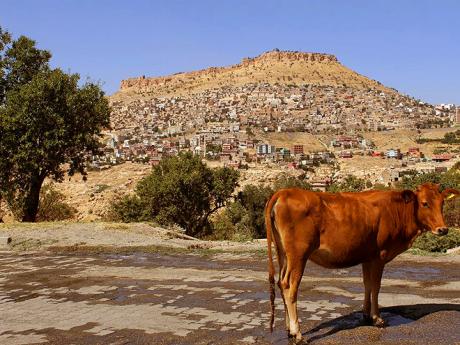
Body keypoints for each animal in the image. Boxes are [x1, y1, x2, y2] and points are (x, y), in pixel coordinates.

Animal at [264, 181, 458, 340]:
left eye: (442, 203)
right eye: (425, 203)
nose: (443, 229)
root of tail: (284, 192)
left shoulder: (367, 257)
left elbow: (367, 285)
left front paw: (366, 314)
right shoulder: (380, 256)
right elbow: (376, 287)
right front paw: (377, 318)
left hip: (283, 254)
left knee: (280, 283)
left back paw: (288, 329)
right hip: (298, 255)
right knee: (289, 286)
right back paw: (297, 332)